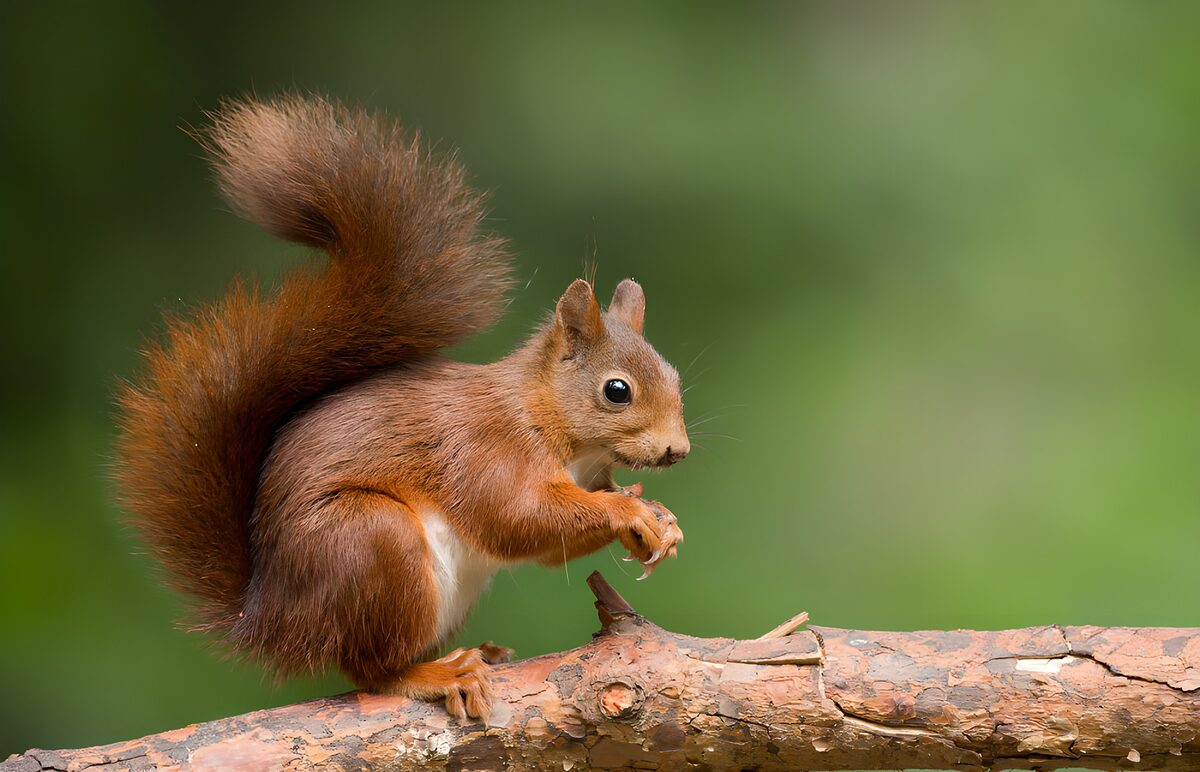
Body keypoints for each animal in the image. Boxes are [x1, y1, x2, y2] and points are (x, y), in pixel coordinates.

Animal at [115, 95, 688, 722]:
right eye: (617, 390)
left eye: (676, 377)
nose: (678, 451)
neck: (554, 424)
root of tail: (271, 619)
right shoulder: (488, 448)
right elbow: (517, 517)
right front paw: (630, 513)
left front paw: (661, 520)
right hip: (372, 541)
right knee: (372, 669)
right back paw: (439, 673)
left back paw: (481, 651)